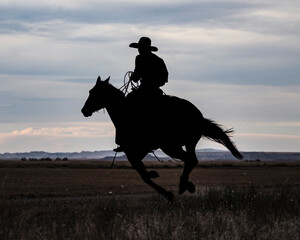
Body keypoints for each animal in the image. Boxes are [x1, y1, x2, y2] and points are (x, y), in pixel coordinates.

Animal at [81, 76, 244, 202]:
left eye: (93, 92)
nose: (84, 110)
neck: (124, 112)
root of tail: (199, 117)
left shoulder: (131, 152)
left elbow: (143, 175)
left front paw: (167, 193)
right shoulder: (139, 151)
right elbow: (141, 171)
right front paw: (154, 174)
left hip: (170, 147)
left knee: (190, 160)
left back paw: (183, 185)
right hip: (186, 143)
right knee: (192, 160)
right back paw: (187, 185)